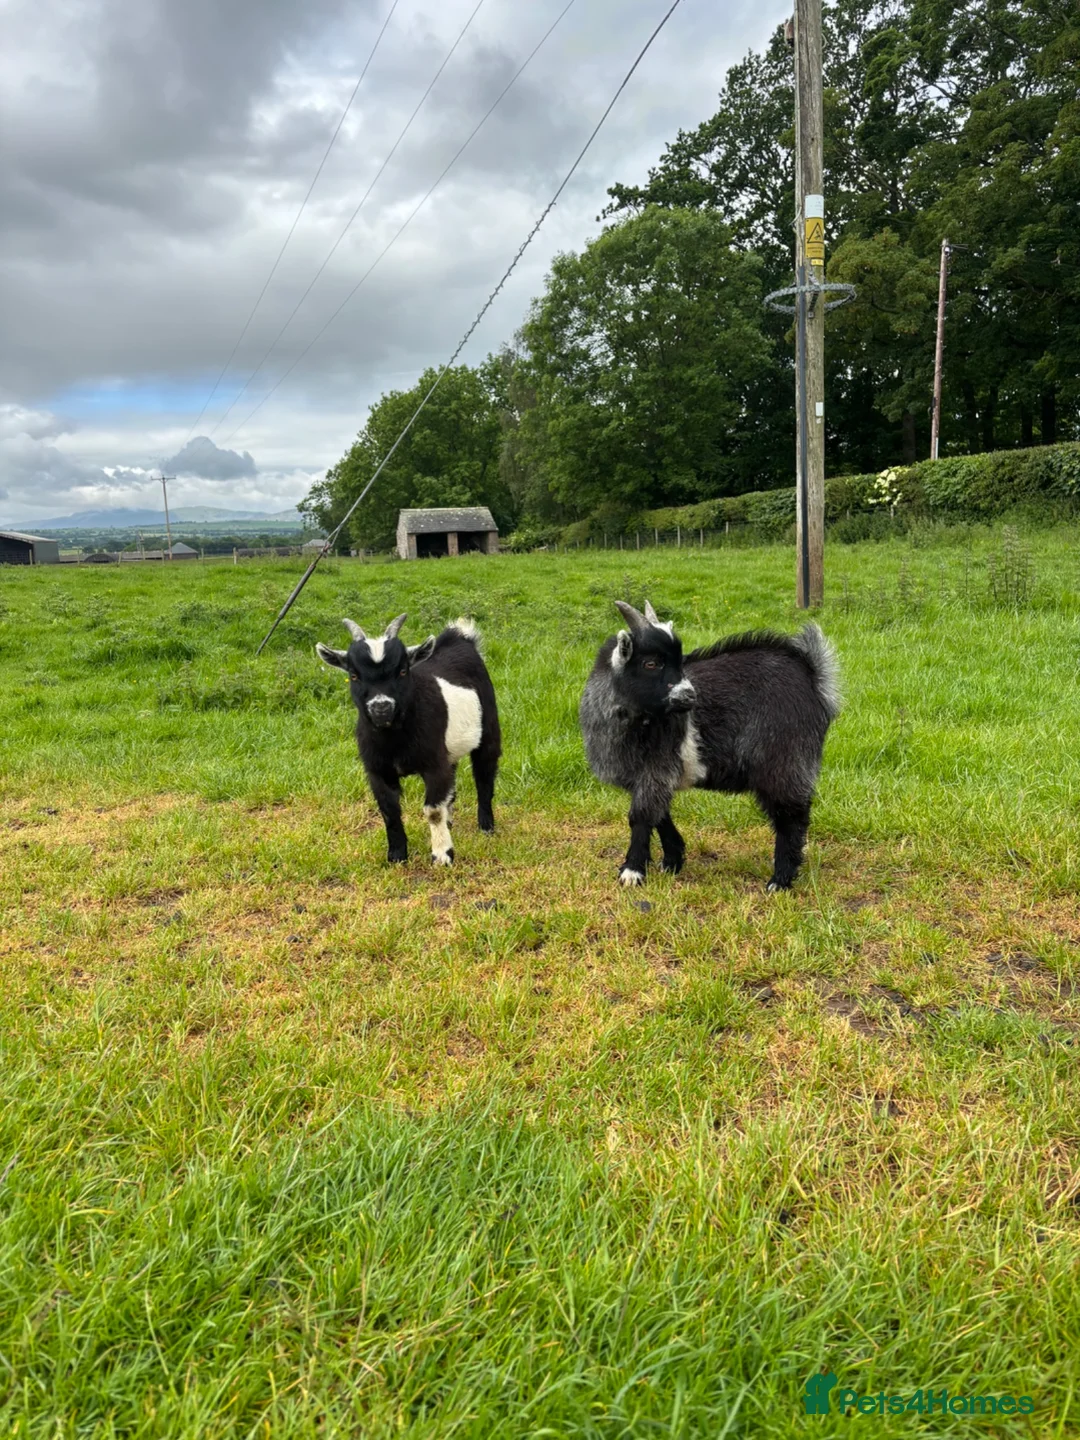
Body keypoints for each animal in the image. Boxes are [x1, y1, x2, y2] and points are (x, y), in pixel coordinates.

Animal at [316, 614, 500, 866]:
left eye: (402, 671)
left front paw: (442, 856)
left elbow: (433, 810)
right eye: (353, 675)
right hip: (450, 751)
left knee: (484, 776)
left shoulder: (434, 765)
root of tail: (461, 638)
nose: (381, 708)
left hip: (489, 727)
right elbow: (389, 811)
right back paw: (451, 822)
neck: (394, 739)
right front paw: (396, 855)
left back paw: (486, 826)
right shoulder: (378, 771)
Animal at [579, 600, 840, 890]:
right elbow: (660, 814)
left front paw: (632, 871)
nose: (689, 696)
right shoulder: (643, 778)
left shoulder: (656, 769)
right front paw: (672, 860)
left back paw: (780, 880)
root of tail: (814, 677)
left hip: (784, 759)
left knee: (791, 815)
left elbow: (641, 816)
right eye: (651, 663)